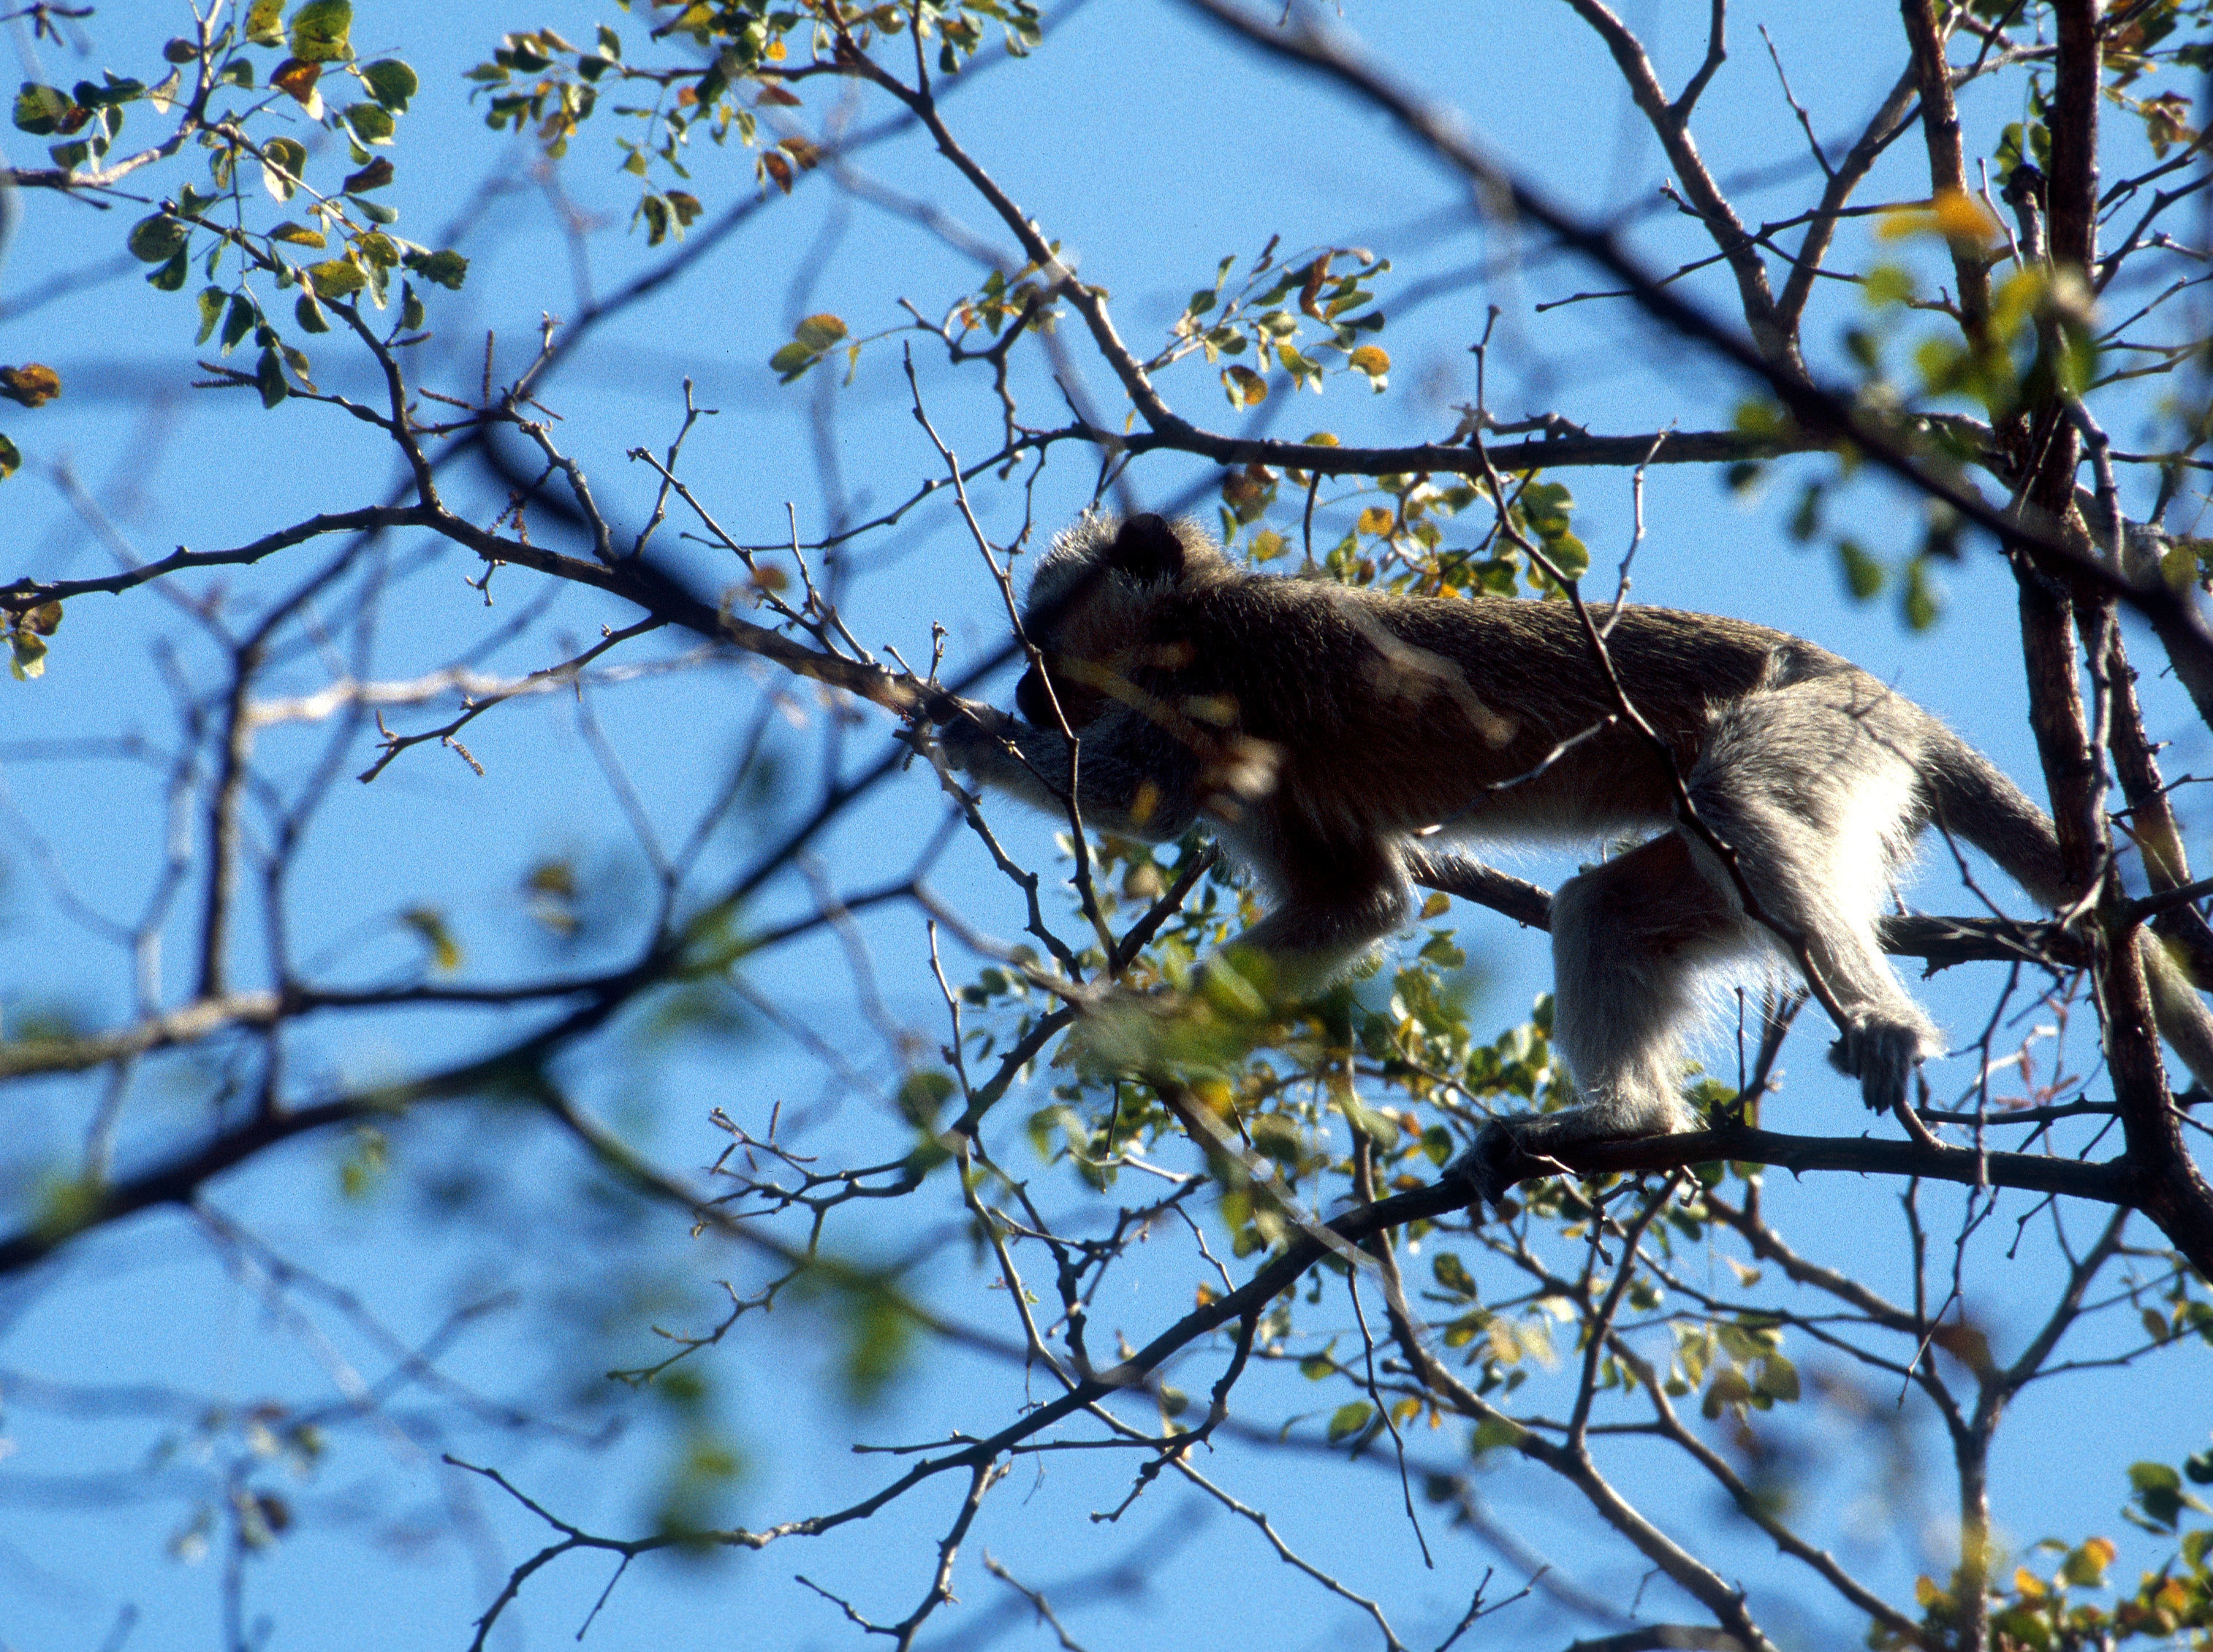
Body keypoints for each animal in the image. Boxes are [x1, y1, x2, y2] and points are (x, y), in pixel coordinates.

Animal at [929, 511, 2213, 1194]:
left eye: (1040, 635)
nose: (1022, 690)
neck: (1191, 615)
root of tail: (1878, 695)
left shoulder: (1223, 667)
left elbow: (1134, 801)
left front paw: (956, 727)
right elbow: (1358, 902)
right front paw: (1139, 1023)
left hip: (1820, 727)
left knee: (1742, 802)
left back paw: (1879, 1021)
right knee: (1607, 906)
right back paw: (1630, 1119)